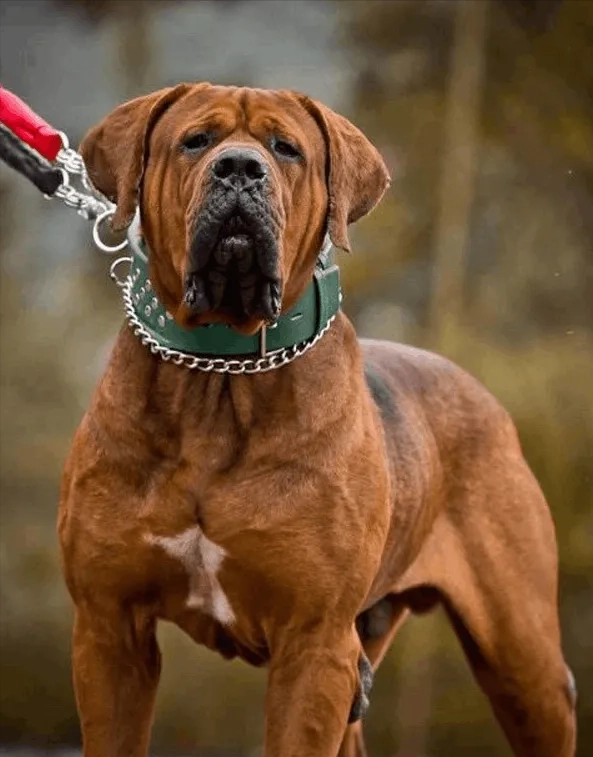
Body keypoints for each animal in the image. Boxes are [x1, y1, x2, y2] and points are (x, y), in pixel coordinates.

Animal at [57, 82, 576, 756]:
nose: (239, 168)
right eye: (196, 141)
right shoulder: (109, 630)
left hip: (523, 660)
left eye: (286, 149)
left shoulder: (314, 642)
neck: (221, 372)